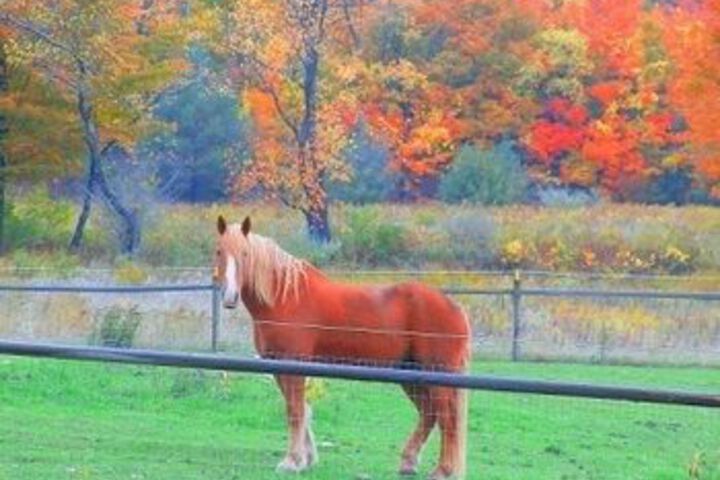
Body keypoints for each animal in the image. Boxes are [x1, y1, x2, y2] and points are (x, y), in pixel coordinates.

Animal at [212, 215, 471, 479]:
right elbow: (304, 410)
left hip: (435, 375)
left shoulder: (293, 365)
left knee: (447, 418)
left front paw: (292, 461)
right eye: (219, 251)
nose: (230, 297)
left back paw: (442, 470)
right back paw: (409, 463)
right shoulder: (277, 367)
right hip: (412, 375)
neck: (284, 296)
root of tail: (454, 307)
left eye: (245, 253)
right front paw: (307, 459)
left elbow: (295, 411)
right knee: (429, 413)